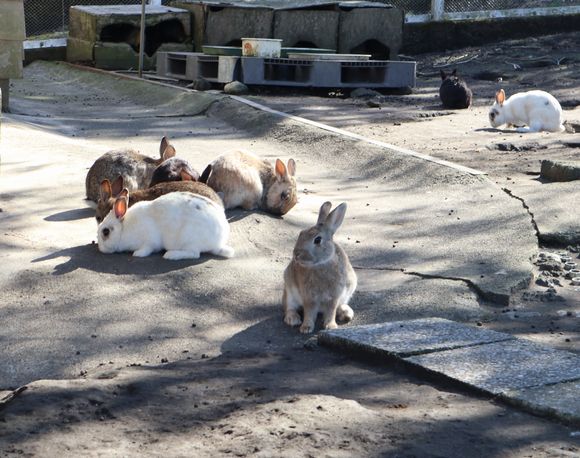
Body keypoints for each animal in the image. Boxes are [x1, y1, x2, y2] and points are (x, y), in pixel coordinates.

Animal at [98, 191, 234, 262]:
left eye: (106, 232)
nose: (100, 248)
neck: (124, 228)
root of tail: (218, 243)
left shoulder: (150, 241)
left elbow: (147, 249)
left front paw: (138, 254)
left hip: (189, 239)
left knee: (194, 254)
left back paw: (170, 255)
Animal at [282, 200, 356, 332]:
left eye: (317, 240)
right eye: (301, 233)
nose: (296, 254)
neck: (321, 264)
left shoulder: (334, 296)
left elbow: (331, 311)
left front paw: (331, 326)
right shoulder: (308, 296)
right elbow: (309, 311)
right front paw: (306, 328)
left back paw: (346, 313)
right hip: (289, 288)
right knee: (289, 306)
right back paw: (293, 319)